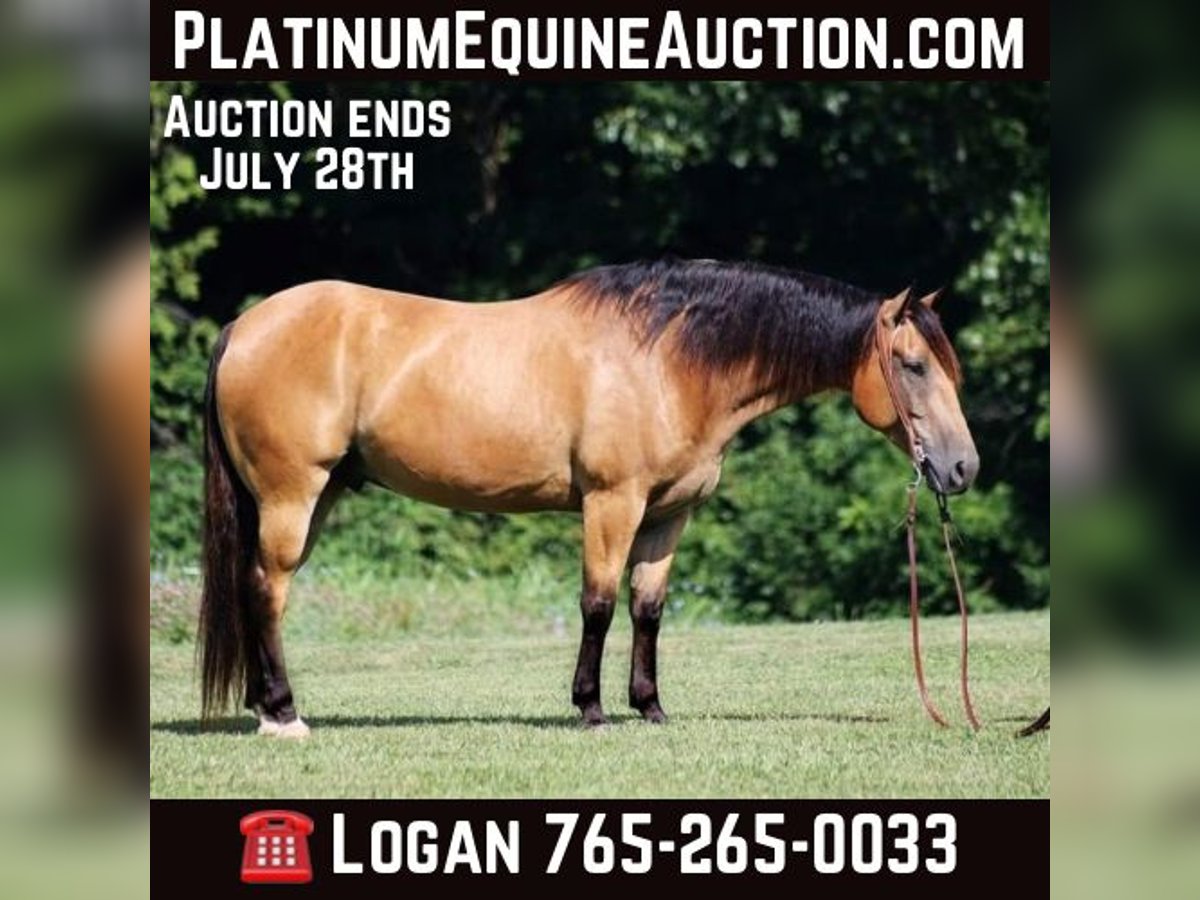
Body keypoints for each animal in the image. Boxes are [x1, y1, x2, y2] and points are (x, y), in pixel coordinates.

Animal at [198, 259, 978, 737]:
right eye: (912, 366)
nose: (962, 468)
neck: (669, 360)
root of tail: (243, 326)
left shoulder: (668, 515)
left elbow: (648, 609)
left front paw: (651, 708)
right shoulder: (613, 503)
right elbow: (598, 603)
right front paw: (591, 708)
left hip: (315, 495)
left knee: (255, 588)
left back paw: (263, 707)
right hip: (293, 495)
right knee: (267, 589)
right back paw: (284, 713)